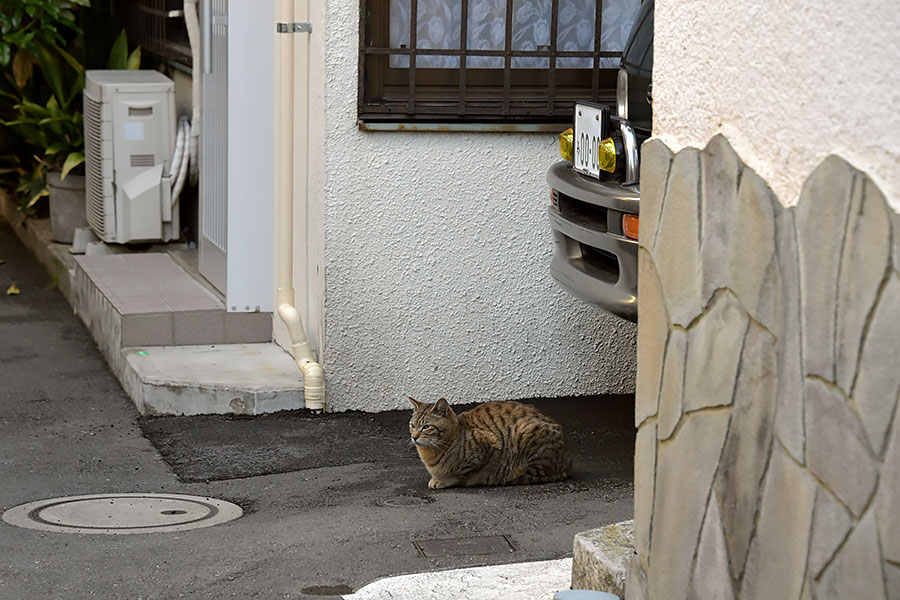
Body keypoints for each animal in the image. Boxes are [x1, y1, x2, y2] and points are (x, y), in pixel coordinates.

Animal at [410, 398, 572, 488]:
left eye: (426, 427)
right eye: (412, 425)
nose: (414, 437)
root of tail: (567, 463)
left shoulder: (488, 446)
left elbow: (460, 474)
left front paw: (442, 480)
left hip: (524, 430)